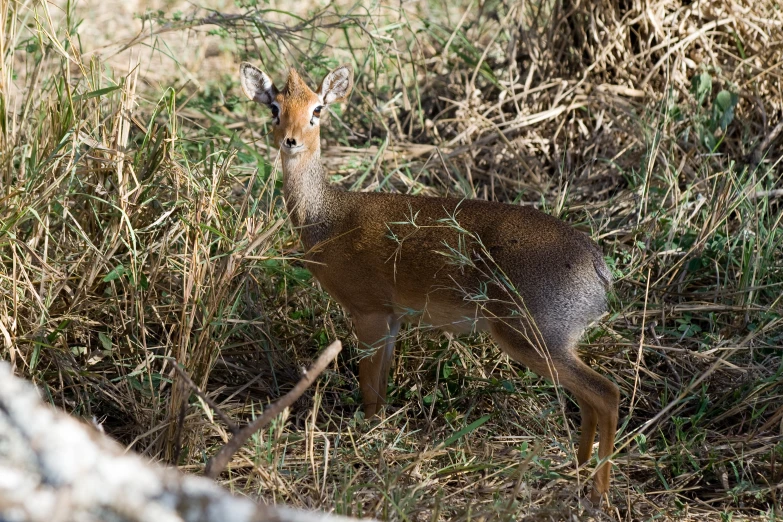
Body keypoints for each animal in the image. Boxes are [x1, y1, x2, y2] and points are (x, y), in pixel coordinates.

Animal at [239, 61, 620, 500]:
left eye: (318, 108)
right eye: (275, 108)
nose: (291, 140)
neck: (327, 219)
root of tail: (597, 266)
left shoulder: (368, 312)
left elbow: (369, 390)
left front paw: (369, 441)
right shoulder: (392, 317)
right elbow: (380, 389)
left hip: (531, 336)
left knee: (606, 393)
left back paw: (599, 495)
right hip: (556, 341)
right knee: (588, 399)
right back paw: (577, 470)